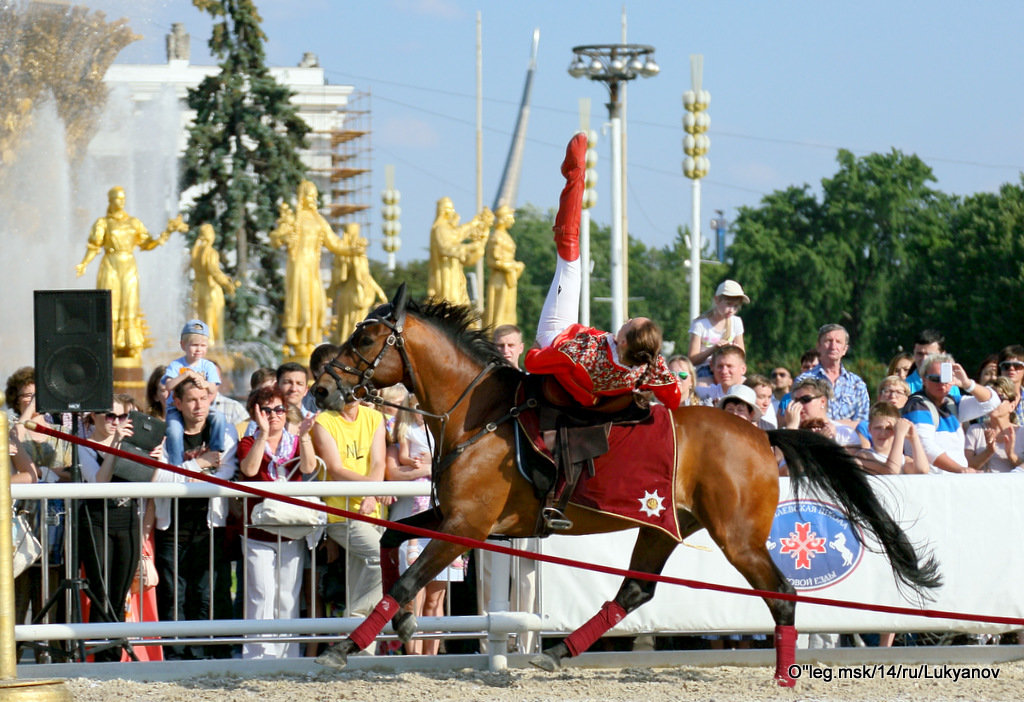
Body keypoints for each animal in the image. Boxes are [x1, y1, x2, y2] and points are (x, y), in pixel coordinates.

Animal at [313, 286, 942, 687]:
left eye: (365, 339)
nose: (321, 390)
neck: (479, 415)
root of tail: (762, 435)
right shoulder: (453, 517)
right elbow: (393, 544)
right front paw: (403, 622)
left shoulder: (467, 524)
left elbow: (409, 574)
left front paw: (346, 647)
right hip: (664, 525)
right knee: (636, 591)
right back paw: (559, 652)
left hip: (737, 536)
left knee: (780, 592)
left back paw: (784, 678)